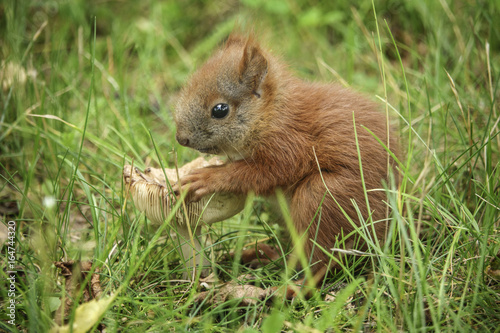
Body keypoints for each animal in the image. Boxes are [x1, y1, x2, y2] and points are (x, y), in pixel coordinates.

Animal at [172, 32, 398, 288]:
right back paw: (266, 255)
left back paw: (296, 287)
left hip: (322, 197)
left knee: (320, 259)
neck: (271, 115)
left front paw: (208, 176)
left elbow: (266, 173)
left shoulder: (289, 144)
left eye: (220, 110)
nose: (181, 138)